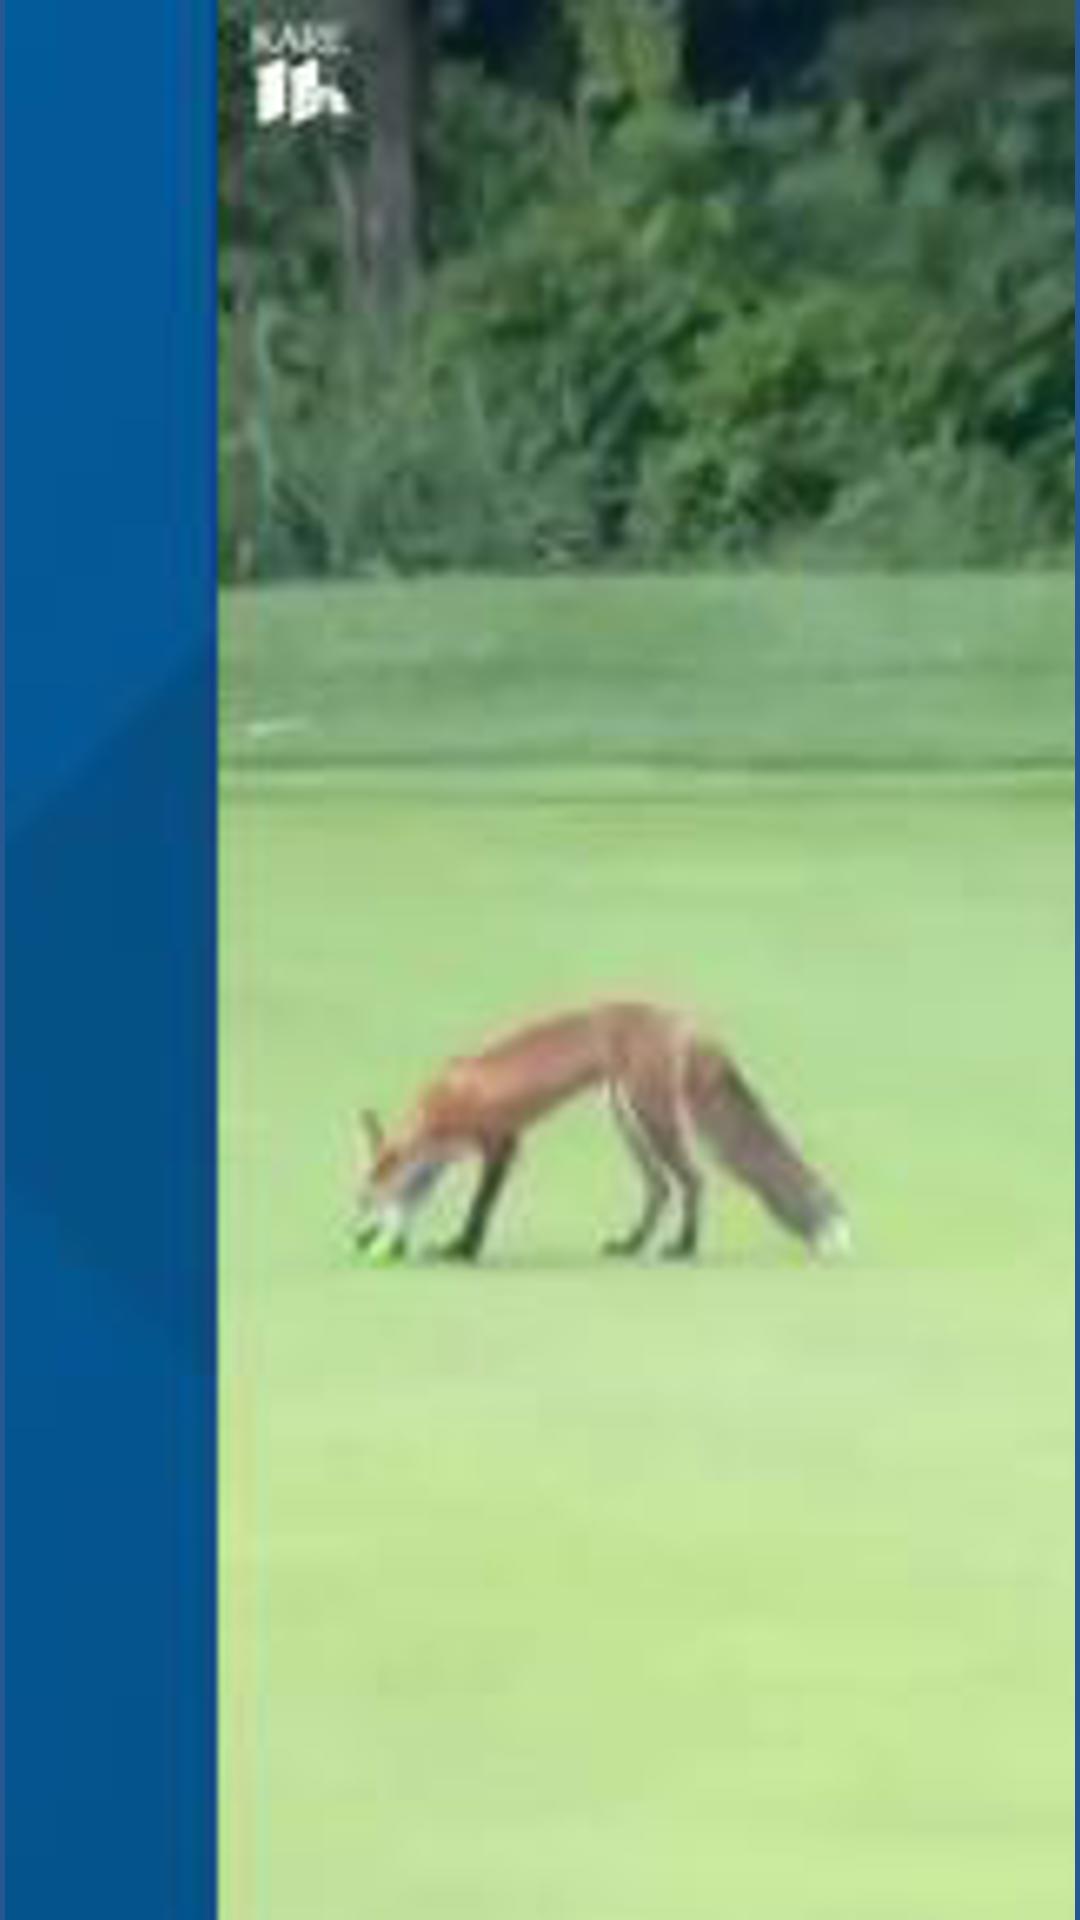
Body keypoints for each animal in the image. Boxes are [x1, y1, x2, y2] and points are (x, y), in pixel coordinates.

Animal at [354, 1000, 850, 1264]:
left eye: (363, 1201)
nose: (355, 1239)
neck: (441, 1105)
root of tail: (683, 1019)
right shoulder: (441, 1161)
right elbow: (415, 1202)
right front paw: (404, 1241)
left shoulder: (502, 1143)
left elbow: (479, 1209)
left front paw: (463, 1249)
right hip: (627, 1118)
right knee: (660, 1188)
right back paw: (632, 1245)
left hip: (652, 1118)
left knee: (692, 1180)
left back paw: (684, 1247)